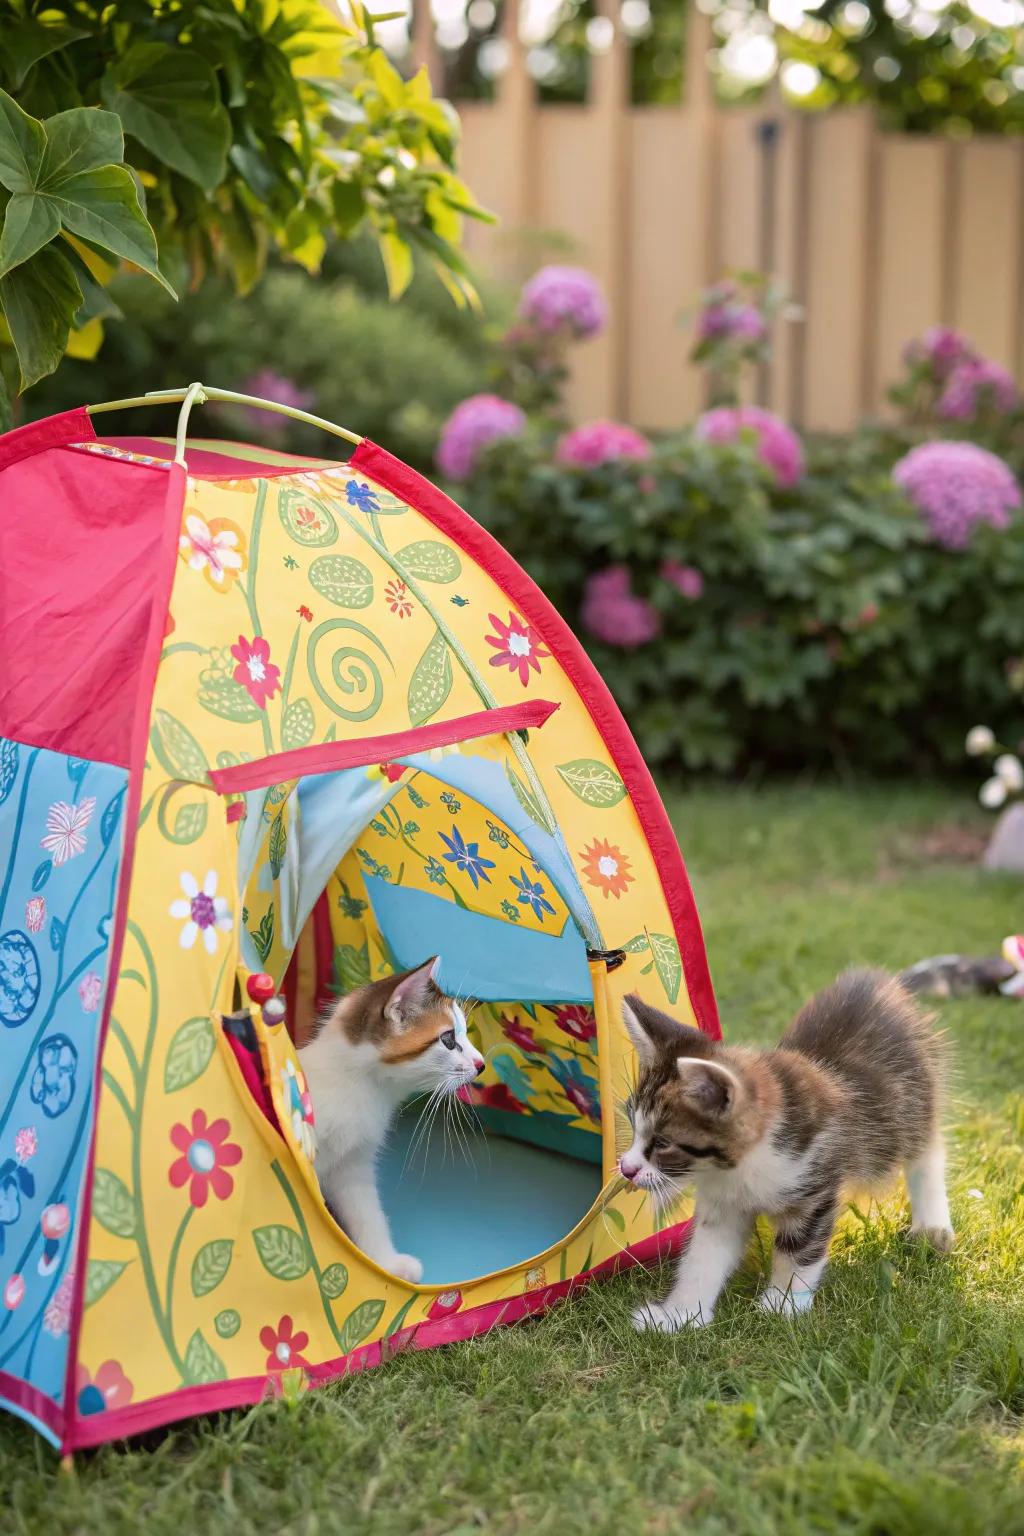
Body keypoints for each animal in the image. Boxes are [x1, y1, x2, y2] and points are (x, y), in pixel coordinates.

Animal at [300, 958, 485, 1284]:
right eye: (449, 1040)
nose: (481, 1064)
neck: (361, 1089)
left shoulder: (353, 1165)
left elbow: (367, 1214)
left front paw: (385, 1265)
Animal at [617, 970, 951, 1333]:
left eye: (663, 1143)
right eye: (634, 1126)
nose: (626, 1168)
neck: (736, 1168)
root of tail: (880, 980)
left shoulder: (815, 1185)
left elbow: (799, 1247)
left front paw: (784, 1303)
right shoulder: (722, 1205)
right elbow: (703, 1256)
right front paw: (678, 1315)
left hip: (908, 1104)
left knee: (927, 1149)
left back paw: (932, 1224)